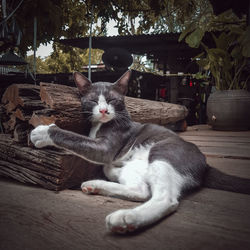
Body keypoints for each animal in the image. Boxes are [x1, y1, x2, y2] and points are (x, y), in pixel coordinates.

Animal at [30, 71, 250, 234]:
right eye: (93, 101)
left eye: (112, 100)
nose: (103, 111)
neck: (101, 124)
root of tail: (205, 163)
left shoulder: (106, 146)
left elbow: (75, 138)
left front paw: (43, 132)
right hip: (136, 165)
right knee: (140, 189)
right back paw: (98, 184)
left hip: (165, 151)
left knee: (164, 199)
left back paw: (125, 218)